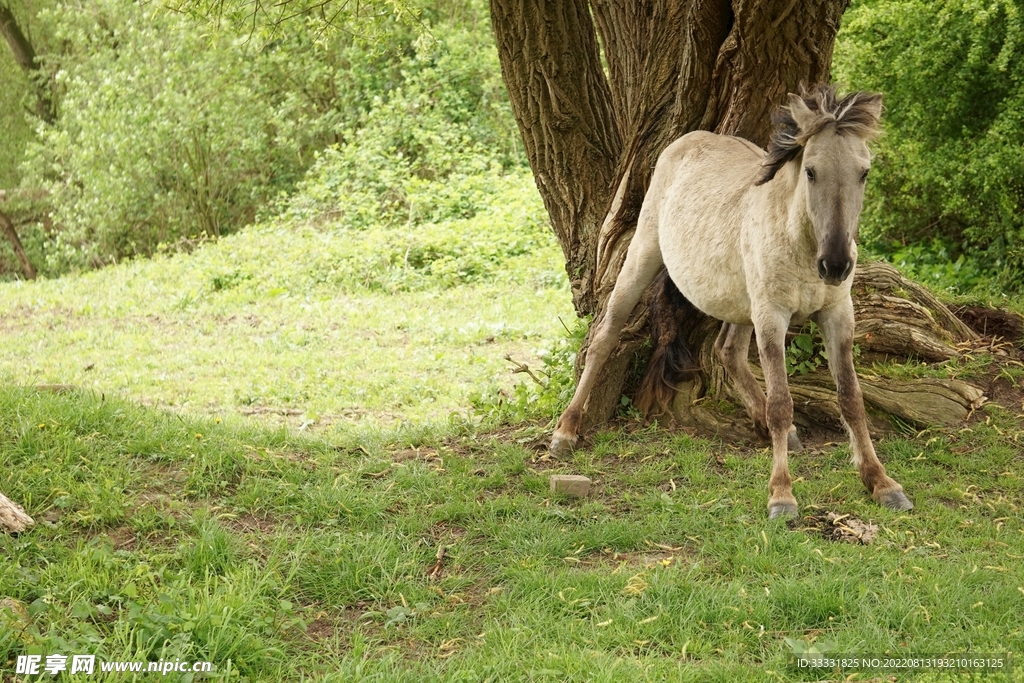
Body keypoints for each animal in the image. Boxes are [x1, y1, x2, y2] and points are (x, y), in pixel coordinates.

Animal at [549, 84, 913, 519]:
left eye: (864, 172)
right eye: (811, 170)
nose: (837, 264)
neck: (801, 243)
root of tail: (688, 140)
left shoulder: (837, 314)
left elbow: (851, 398)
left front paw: (881, 482)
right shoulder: (772, 316)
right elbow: (781, 402)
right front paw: (781, 495)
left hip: (741, 304)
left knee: (728, 351)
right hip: (643, 255)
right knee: (605, 337)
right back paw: (566, 430)